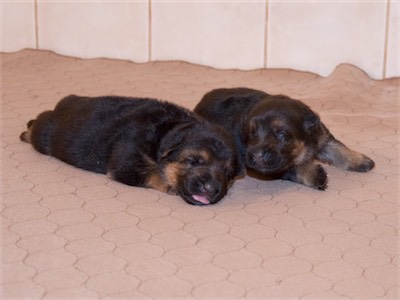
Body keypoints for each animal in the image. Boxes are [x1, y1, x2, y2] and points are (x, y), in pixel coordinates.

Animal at [20, 95, 242, 205]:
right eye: (192, 161)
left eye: (228, 174)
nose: (210, 188)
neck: (165, 132)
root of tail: (62, 104)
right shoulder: (127, 161)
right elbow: (152, 173)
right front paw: (169, 185)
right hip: (47, 134)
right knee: (39, 124)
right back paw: (27, 132)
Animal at [194, 87, 376, 190]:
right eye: (251, 134)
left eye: (281, 134)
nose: (256, 155)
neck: (304, 145)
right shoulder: (270, 168)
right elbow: (294, 168)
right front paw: (316, 175)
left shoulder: (321, 136)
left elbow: (337, 147)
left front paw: (360, 160)